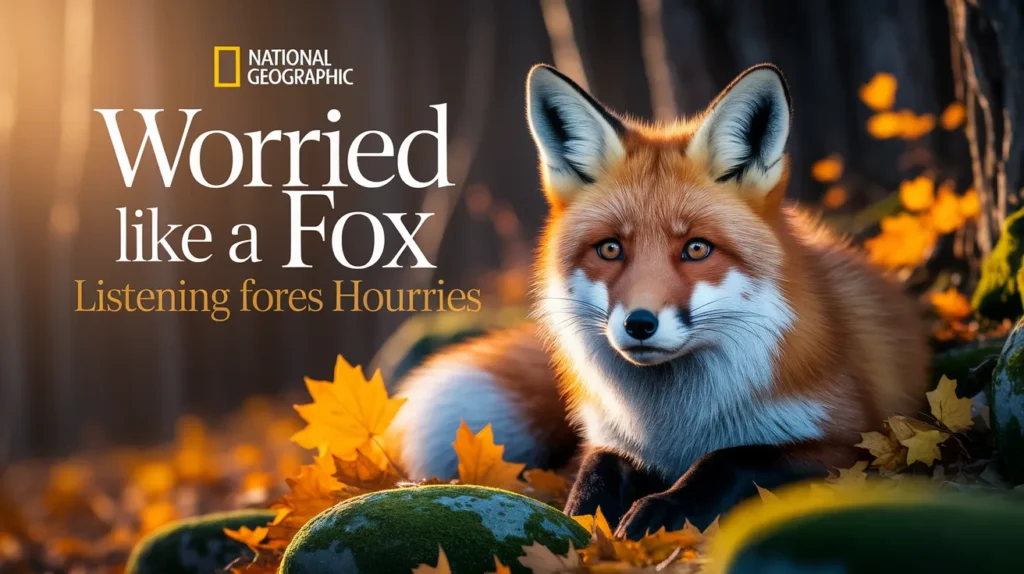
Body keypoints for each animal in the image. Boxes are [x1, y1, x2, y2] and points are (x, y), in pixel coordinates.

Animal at [390, 63, 929, 539]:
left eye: (696, 249)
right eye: (610, 249)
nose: (640, 324)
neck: (673, 426)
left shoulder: (850, 441)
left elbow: (728, 459)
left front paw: (663, 508)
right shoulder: (611, 438)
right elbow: (595, 472)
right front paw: (581, 523)